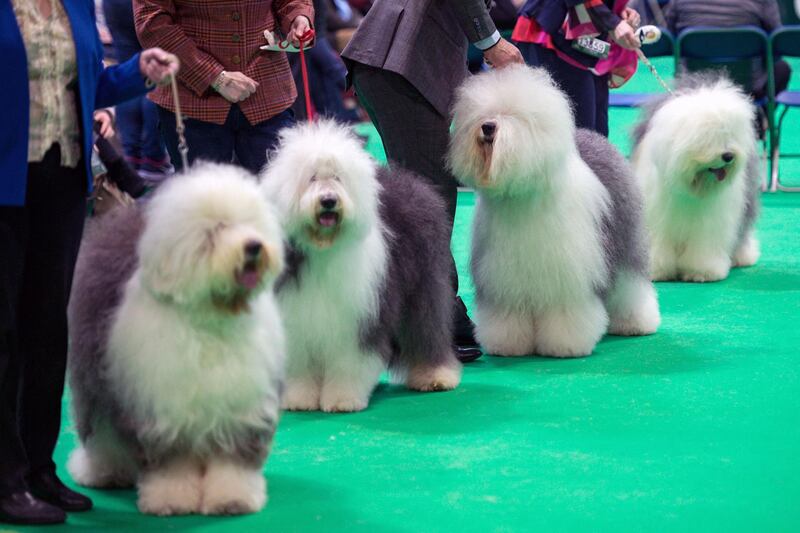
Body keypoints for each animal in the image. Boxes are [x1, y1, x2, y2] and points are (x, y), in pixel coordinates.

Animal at [66, 165, 284, 516]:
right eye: (217, 229)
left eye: (249, 223)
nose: (253, 246)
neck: (211, 319)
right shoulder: (162, 409)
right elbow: (173, 464)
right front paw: (172, 499)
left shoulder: (241, 405)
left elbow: (232, 462)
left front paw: (232, 499)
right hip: (96, 380)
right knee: (101, 433)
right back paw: (101, 472)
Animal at [262, 119, 462, 412]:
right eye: (312, 178)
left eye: (338, 178)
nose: (329, 201)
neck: (324, 250)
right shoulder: (297, 317)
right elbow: (300, 364)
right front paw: (299, 398)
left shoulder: (359, 317)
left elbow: (350, 362)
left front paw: (342, 399)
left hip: (423, 288)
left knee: (426, 329)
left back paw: (435, 375)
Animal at [446, 65, 660, 358]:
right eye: (480, 114)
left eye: (515, 116)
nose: (487, 126)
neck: (524, 196)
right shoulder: (504, 277)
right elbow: (507, 314)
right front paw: (507, 344)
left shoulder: (567, 275)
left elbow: (565, 312)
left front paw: (565, 345)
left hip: (624, 241)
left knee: (630, 285)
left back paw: (635, 323)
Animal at [632, 74, 764, 282]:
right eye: (707, 137)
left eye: (729, 134)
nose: (728, 155)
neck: (690, 187)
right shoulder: (656, 217)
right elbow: (658, 242)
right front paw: (655, 270)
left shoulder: (709, 222)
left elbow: (704, 246)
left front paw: (702, 272)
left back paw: (742, 257)